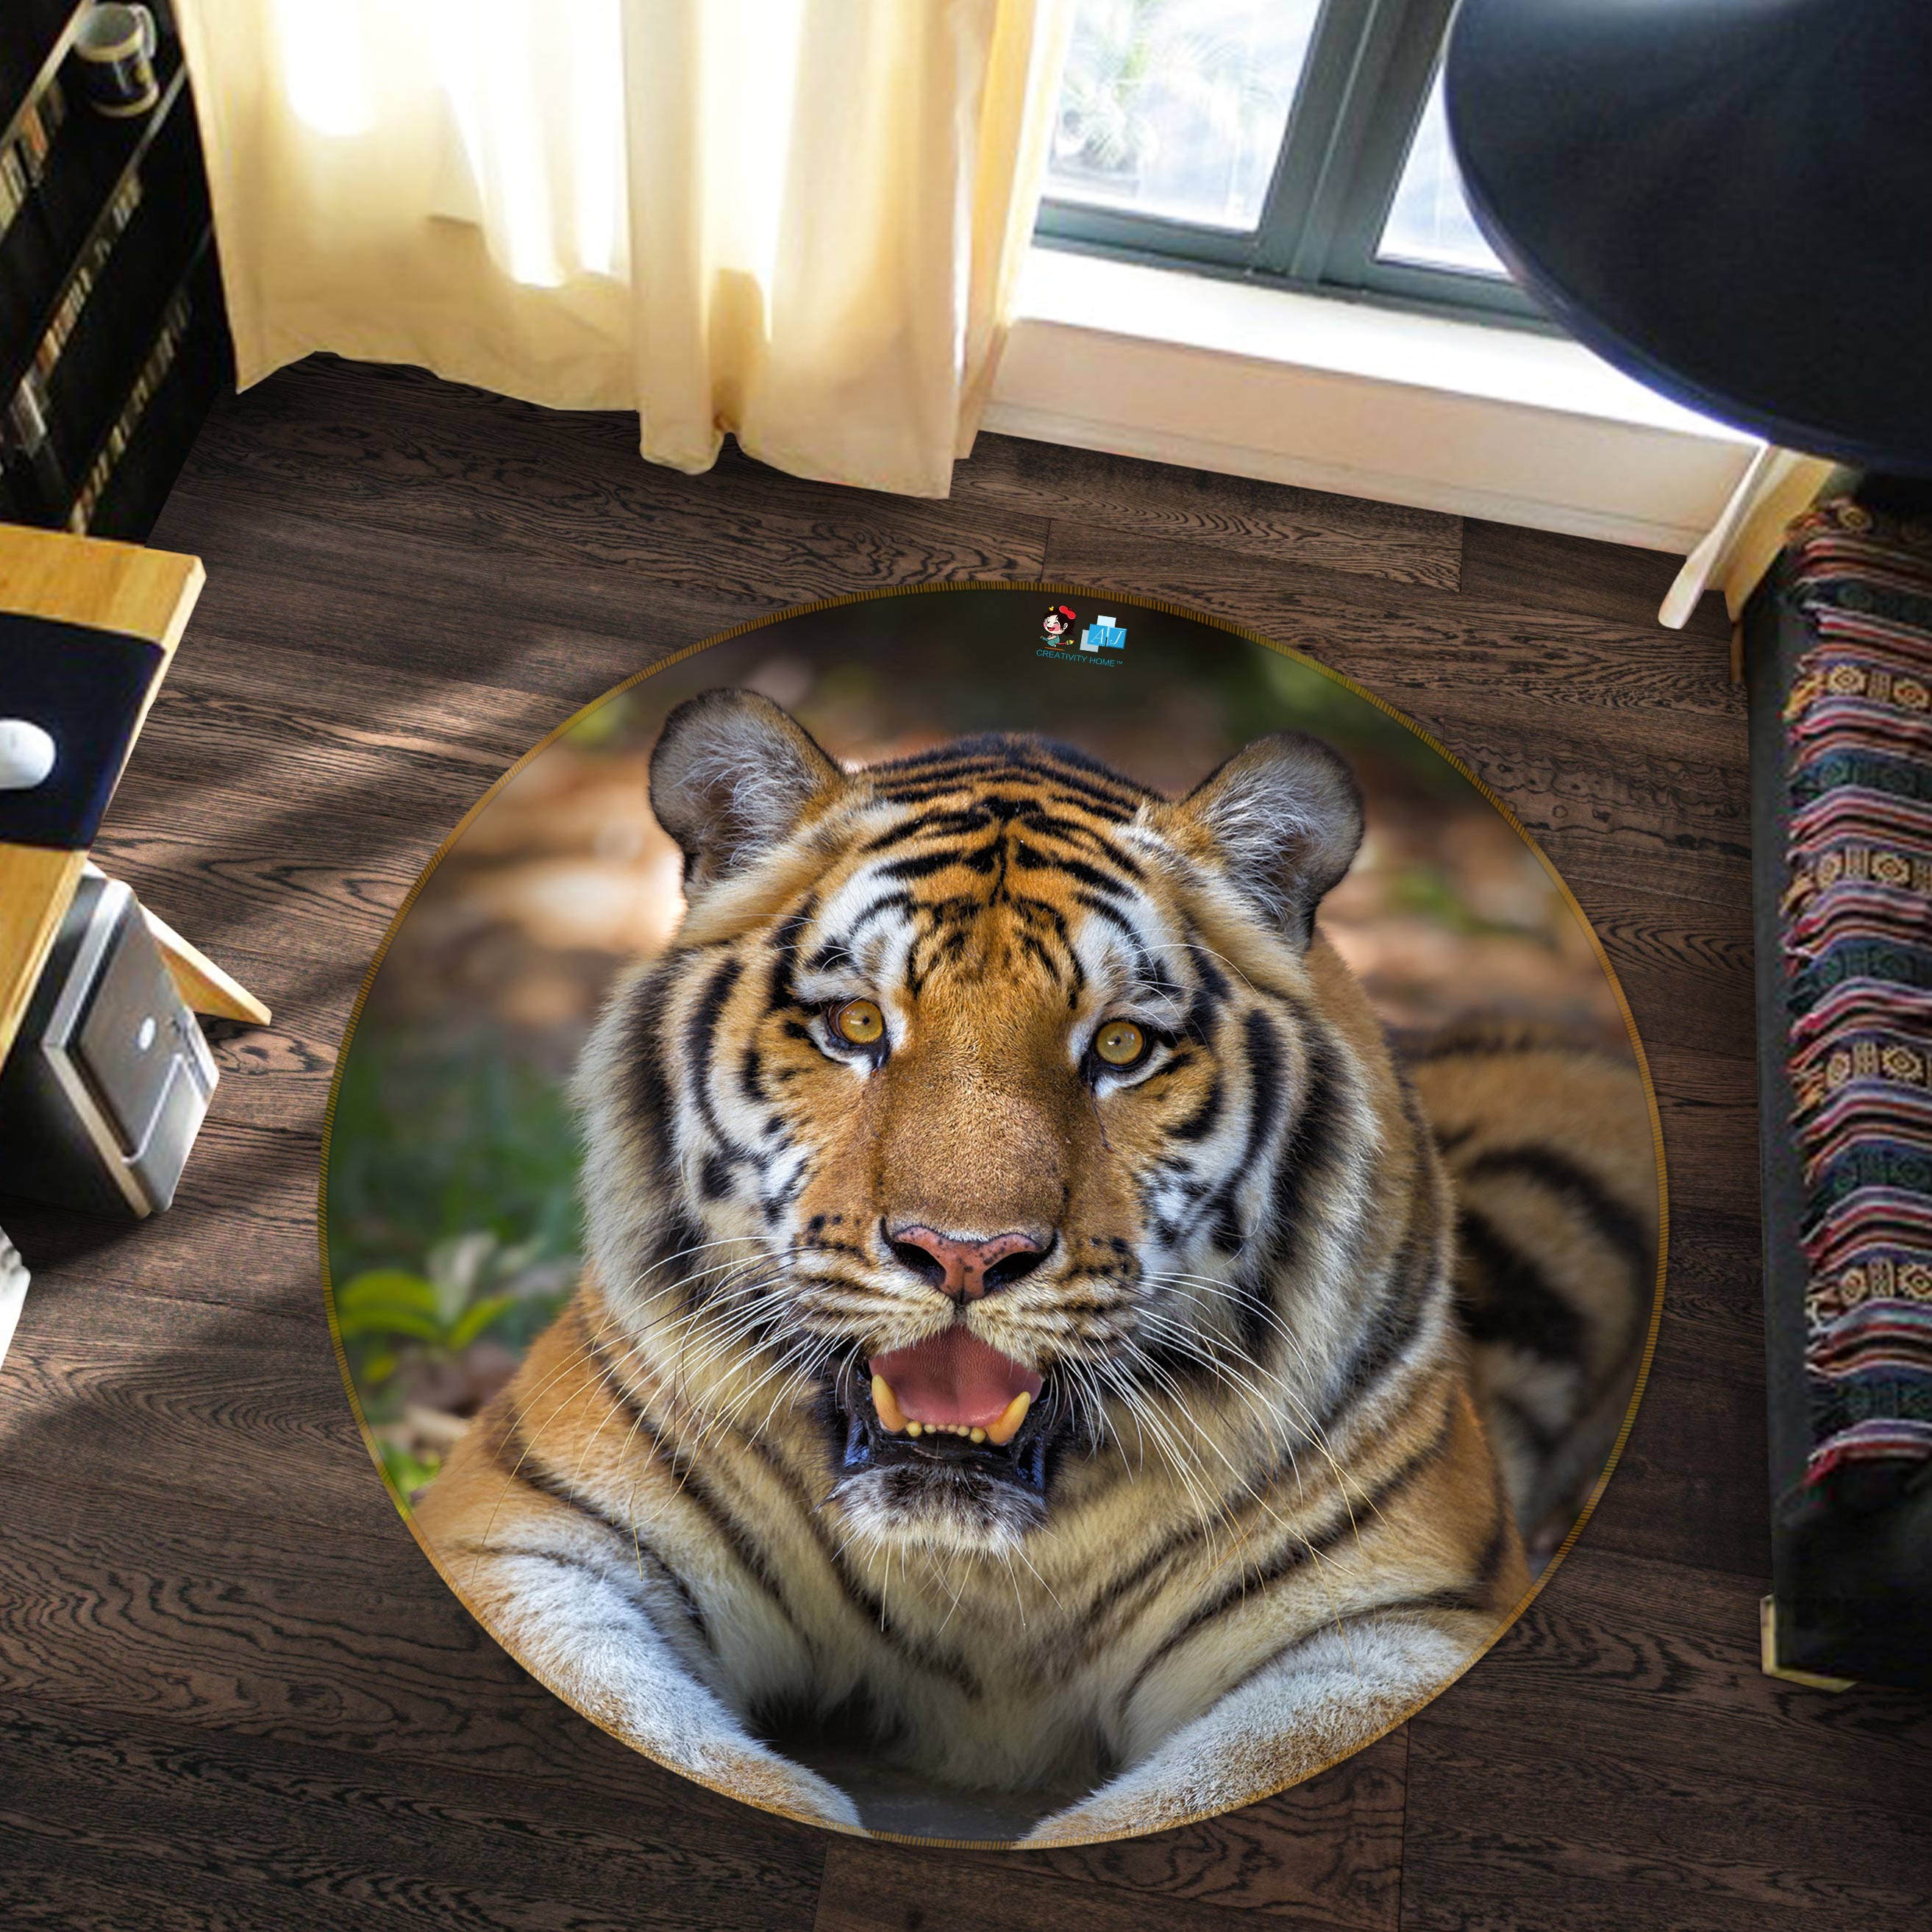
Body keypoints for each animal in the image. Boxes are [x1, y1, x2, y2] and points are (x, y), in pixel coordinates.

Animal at [413, 689, 1654, 1842]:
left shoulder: (1386, 1626)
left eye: (1119, 1045)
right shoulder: (532, 1533)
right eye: (855, 1024)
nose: (964, 1254)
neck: (973, 1569)